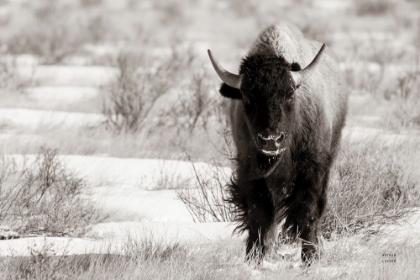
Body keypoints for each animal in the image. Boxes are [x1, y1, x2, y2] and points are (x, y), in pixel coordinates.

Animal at [207, 22, 348, 264]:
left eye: (289, 94)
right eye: (246, 97)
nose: (270, 140)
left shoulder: (312, 169)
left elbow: (308, 211)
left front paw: (310, 258)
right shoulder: (250, 171)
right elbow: (259, 214)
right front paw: (254, 258)